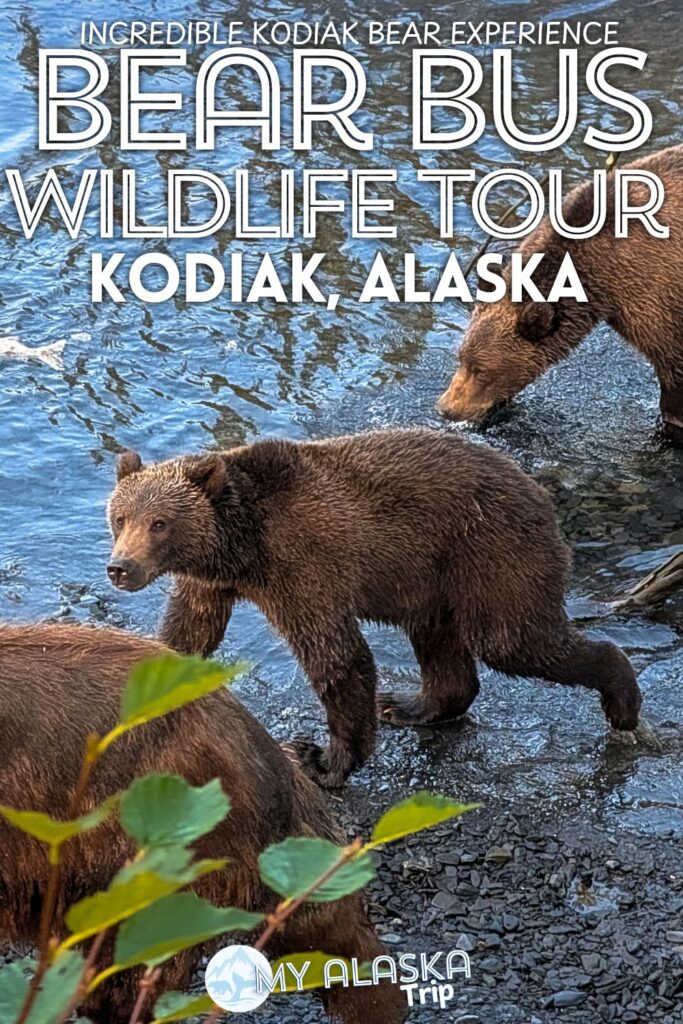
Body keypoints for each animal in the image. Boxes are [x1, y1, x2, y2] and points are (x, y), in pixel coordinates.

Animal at [106, 428, 642, 789]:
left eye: (159, 522)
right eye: (120, 517)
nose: (120, 567)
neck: (243, 546)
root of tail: (540, 493)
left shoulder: (301, 567)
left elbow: (337, 656)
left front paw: (321, 758)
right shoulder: (212, 582)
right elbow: (190, 632)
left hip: (490, 551)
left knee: (514, 640)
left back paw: (621, 702)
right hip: (434, 581)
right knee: (442, 644)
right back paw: (409, 704)